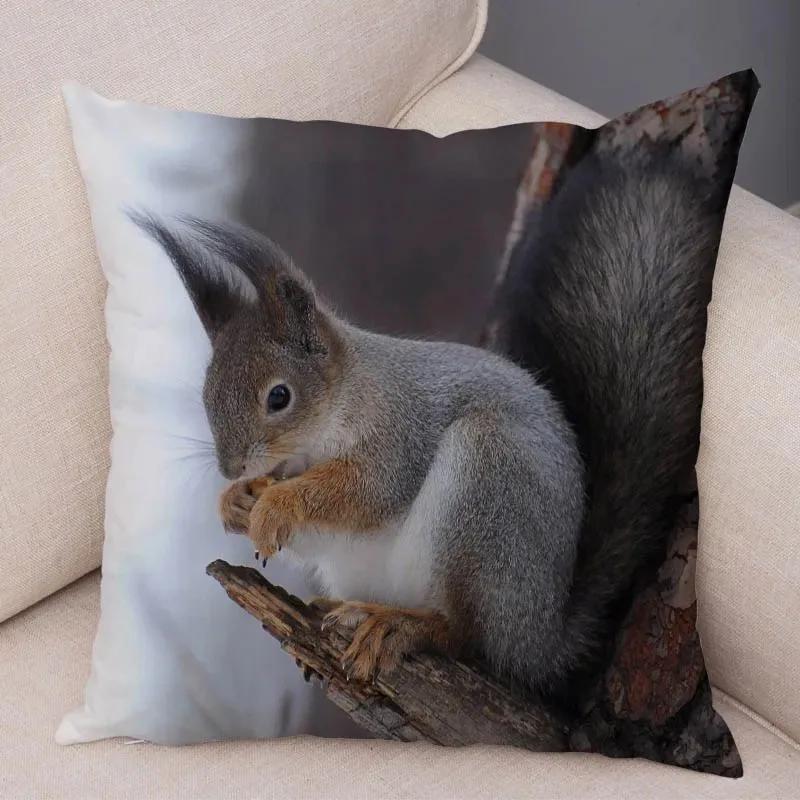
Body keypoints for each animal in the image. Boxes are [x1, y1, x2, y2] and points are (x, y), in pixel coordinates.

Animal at [132, 149, 722, 694]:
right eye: (206, 392)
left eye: (279, 396)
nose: (232, 467)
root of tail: (540, 637)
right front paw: (236, 502)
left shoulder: (400, 430)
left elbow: (366, 491)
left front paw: (275, 503)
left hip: (486, 489)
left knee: (467, 636)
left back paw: (402, 626)